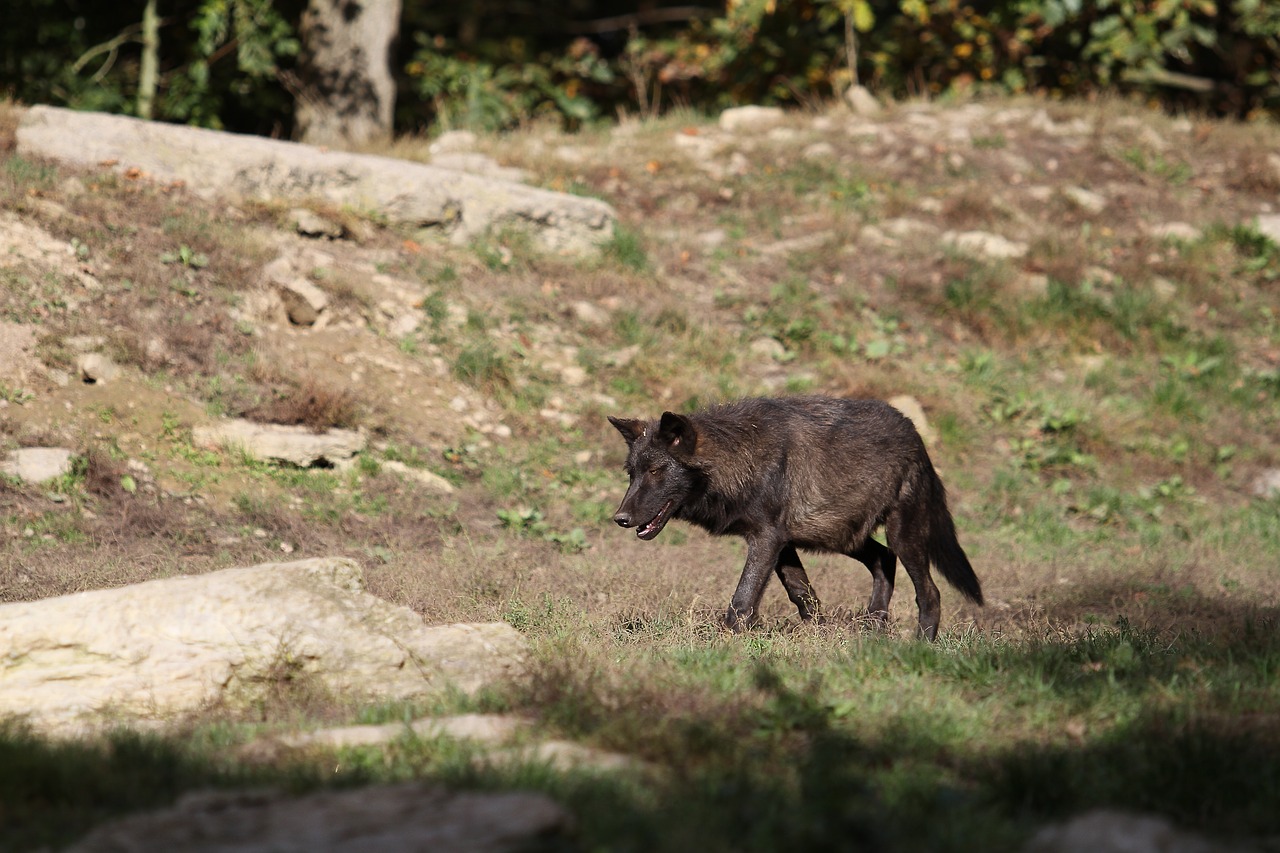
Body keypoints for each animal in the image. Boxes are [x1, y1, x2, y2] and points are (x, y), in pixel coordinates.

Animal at [606, 397, 977, 637]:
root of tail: (915, 434)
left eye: (656, 471)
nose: (620, 518)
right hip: (843, 537)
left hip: (900, 536)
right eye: (631, 474)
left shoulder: (766, 540)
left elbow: (743, 599)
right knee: (883, 559)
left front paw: (727, 642)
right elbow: (803, 594)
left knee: (930, 593)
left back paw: (920, 645)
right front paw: (818, 635)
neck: (741, 457)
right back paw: (873, 629)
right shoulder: (781, 543)